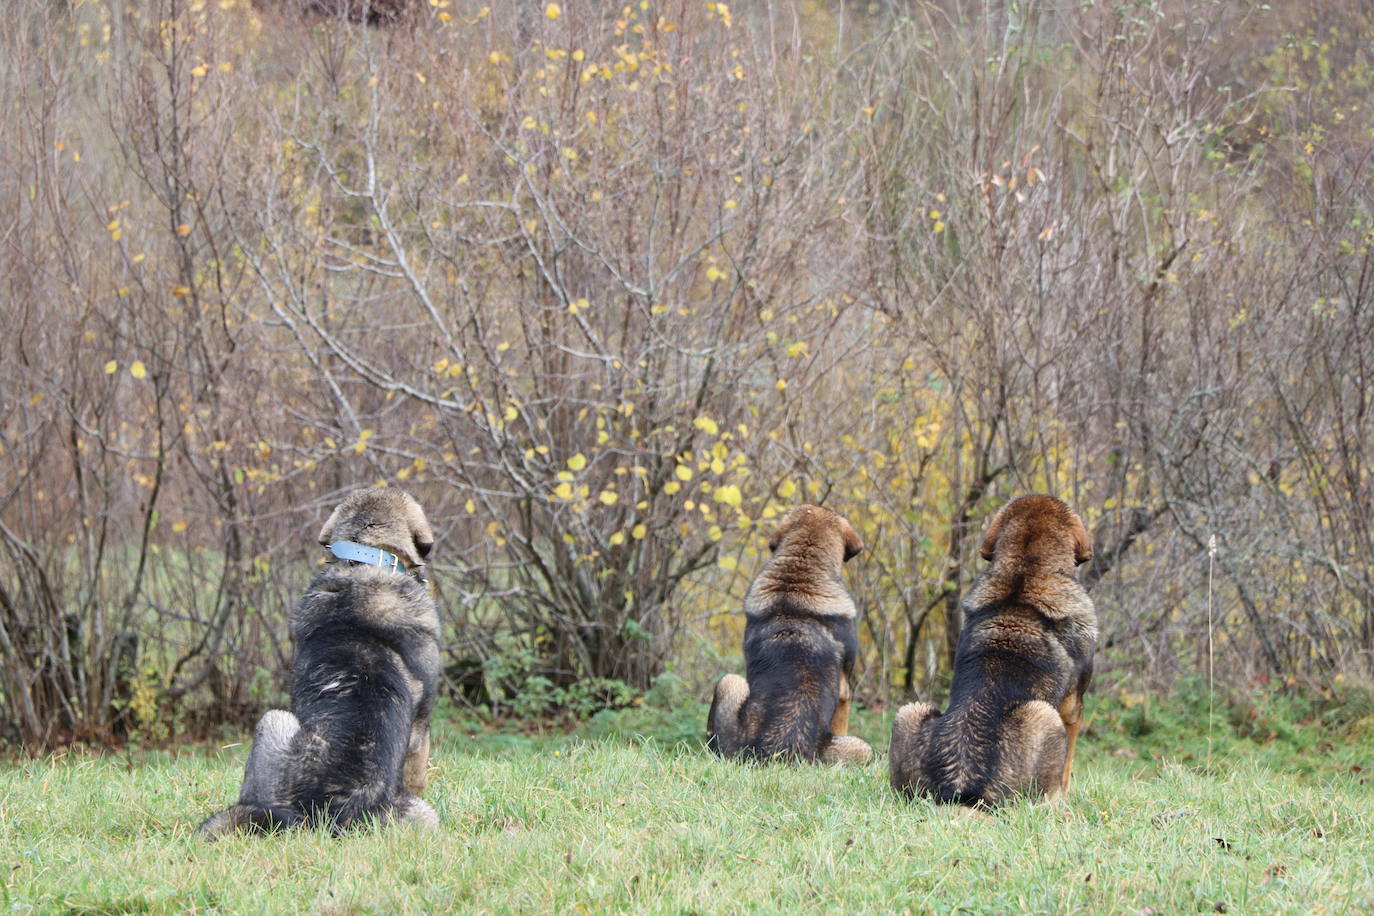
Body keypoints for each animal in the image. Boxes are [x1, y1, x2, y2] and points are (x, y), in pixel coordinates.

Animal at [890, 494, 1093, 807]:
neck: (1026, 569)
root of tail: (961, 786)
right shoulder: (1072, 706)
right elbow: (1068, 766)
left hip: (909, 712)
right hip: (1044, 715)